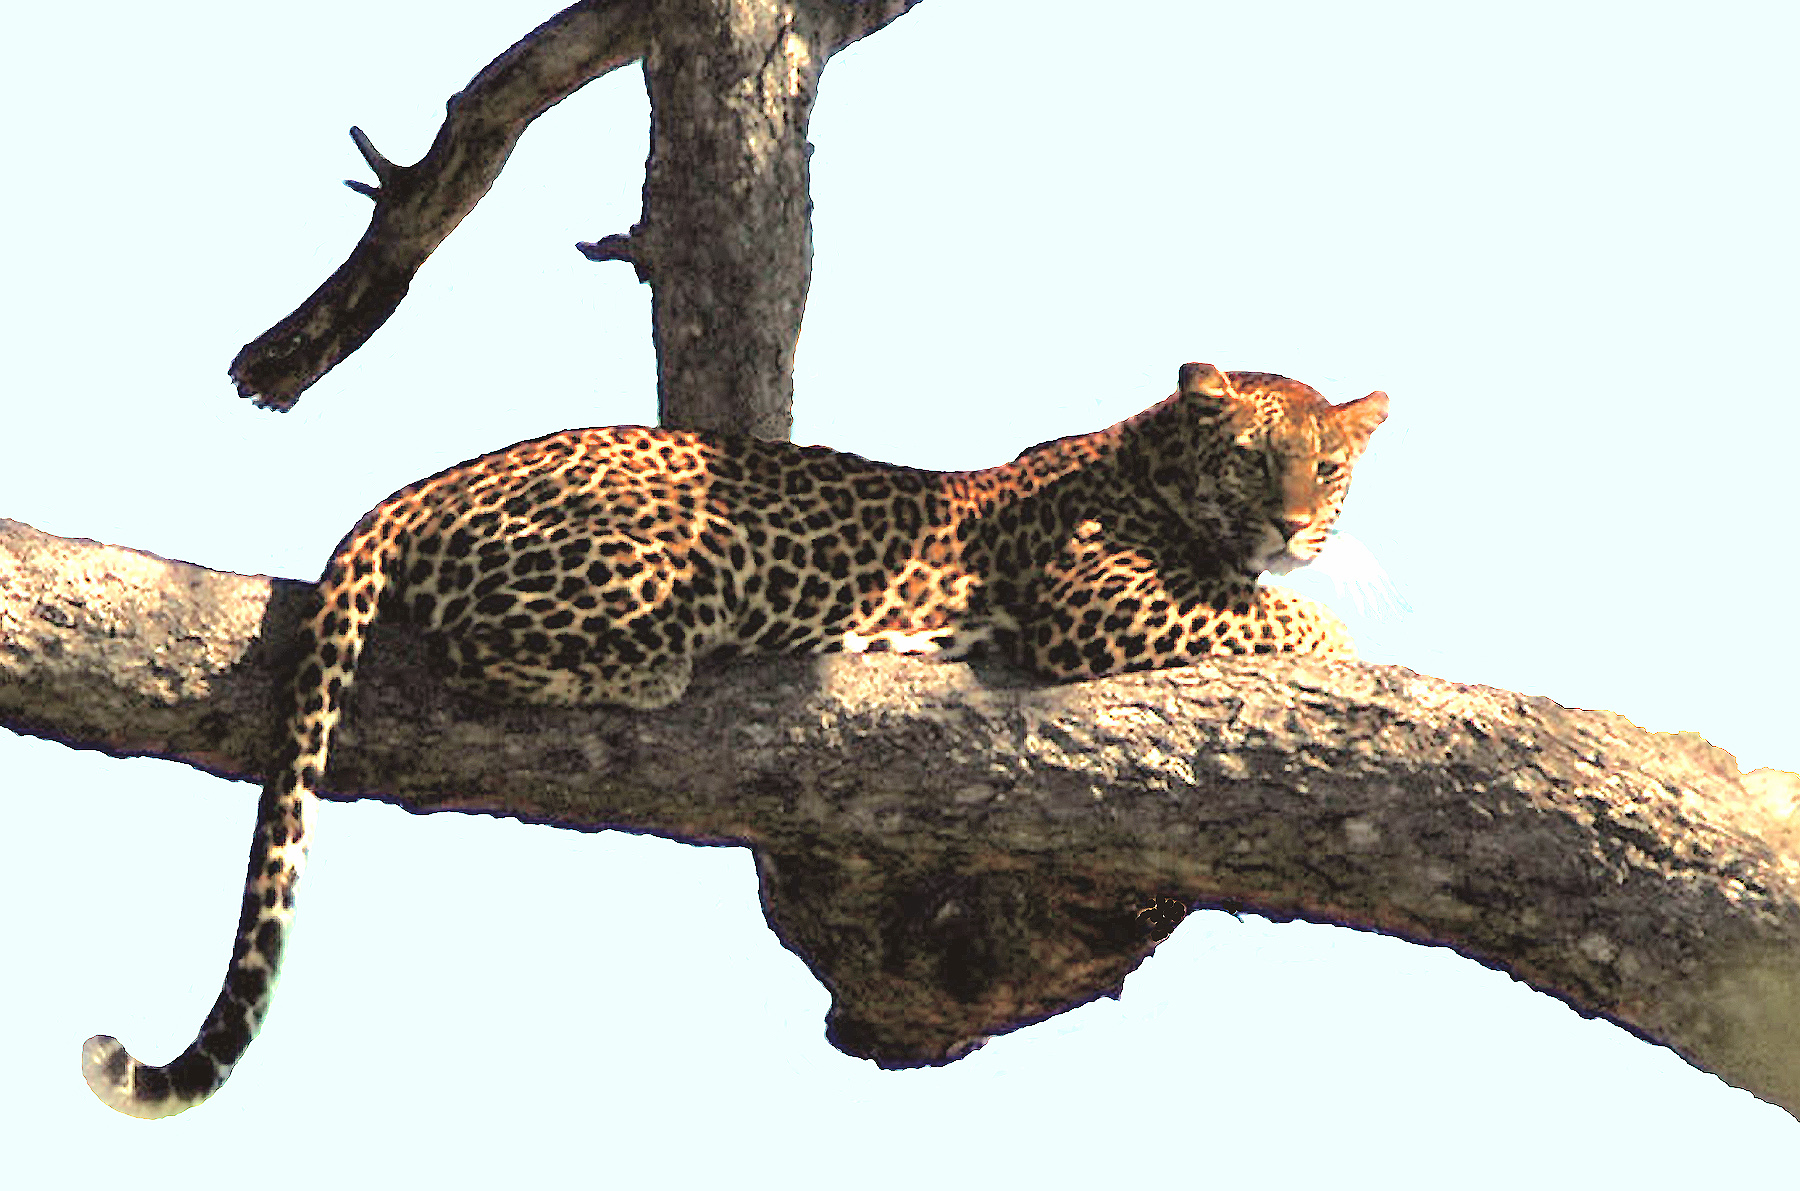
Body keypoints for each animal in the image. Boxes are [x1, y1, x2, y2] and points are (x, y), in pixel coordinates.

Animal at [81, 361, 1387, 1117]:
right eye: (1254, 462)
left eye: (1329, 467)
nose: (1293, 523)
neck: (1150, 456)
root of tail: (418, 487)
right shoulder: (1100, 601)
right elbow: (1267, 612)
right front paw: (1334, 631)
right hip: (667, 561)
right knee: (496, 645)